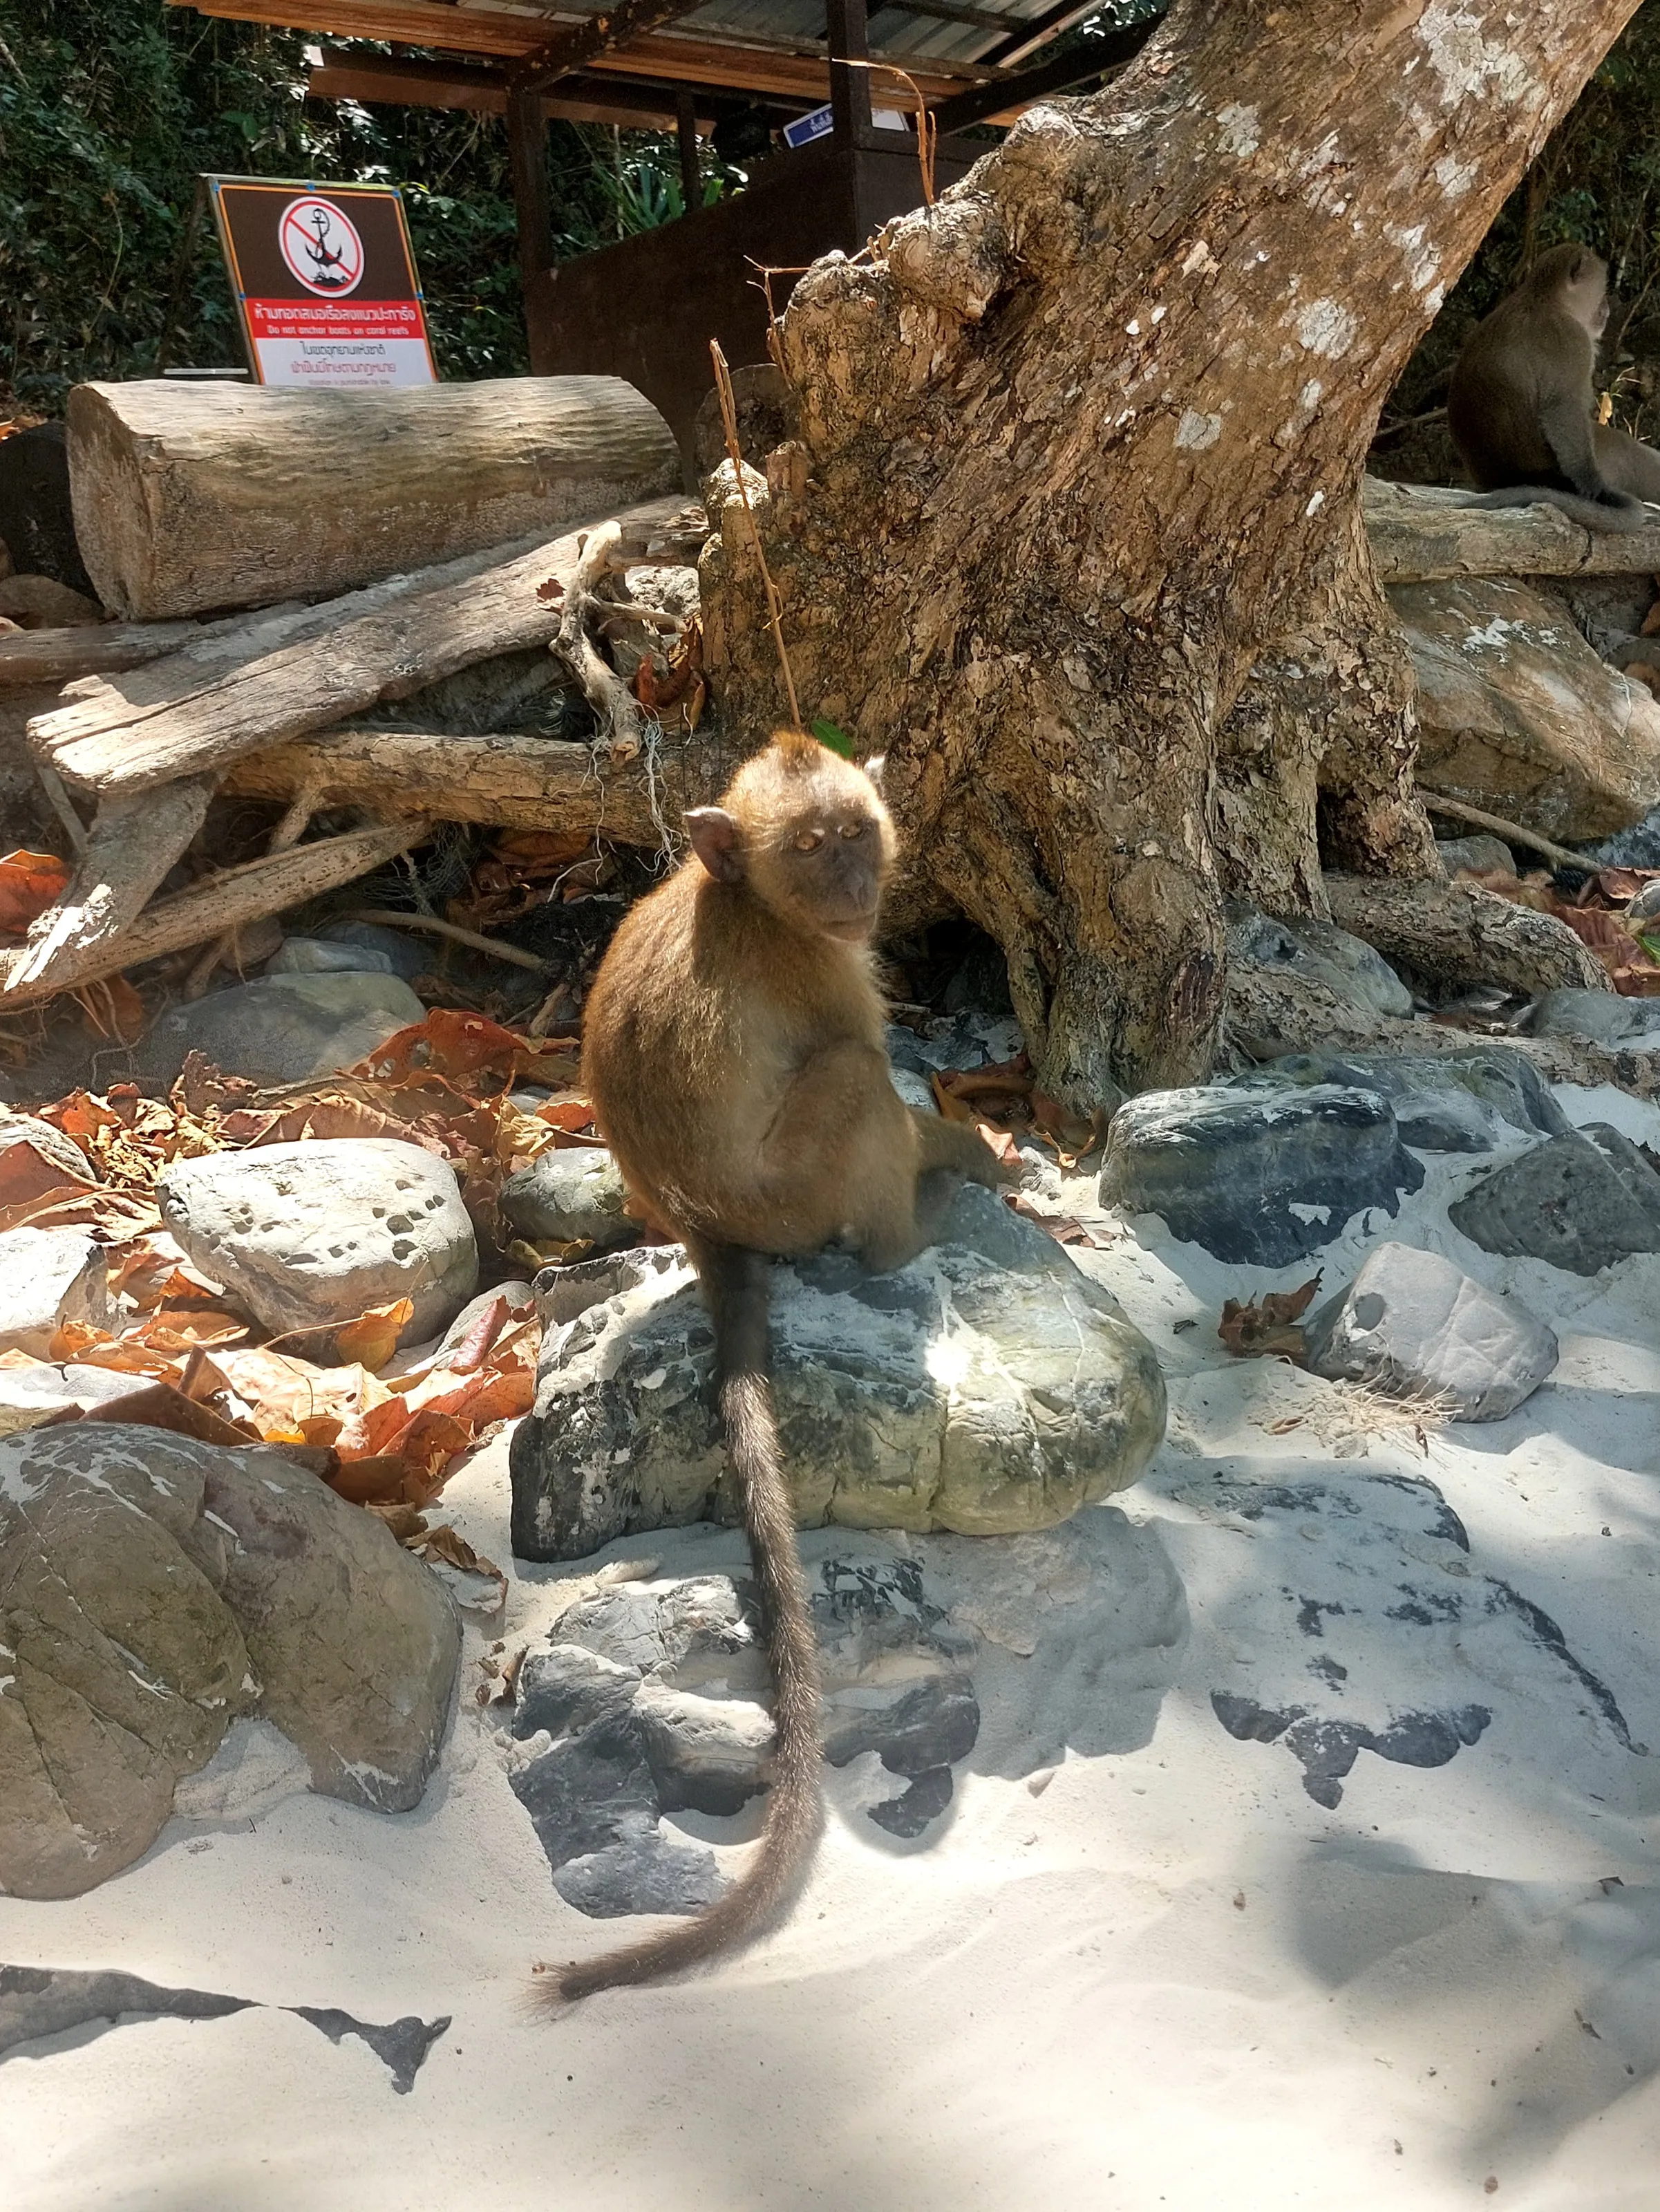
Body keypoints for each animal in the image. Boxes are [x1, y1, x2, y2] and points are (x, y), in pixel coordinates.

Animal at [538, 730, 1010, 2006]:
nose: (853, 883)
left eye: (855, 833)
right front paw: (970, 1148)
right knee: (850, 1079)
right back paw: (912, 1233)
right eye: (809, 847)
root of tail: (705, 1226)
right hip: (793, 1194)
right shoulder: (824, 969)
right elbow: (869, 1060)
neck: (752, 902)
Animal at [1446, 242, 1660, 534]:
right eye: (1602, 290)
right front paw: (1594, 487)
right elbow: (1562, 412)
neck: (1544, 299)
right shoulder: (1574, 342)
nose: (1606, 308)